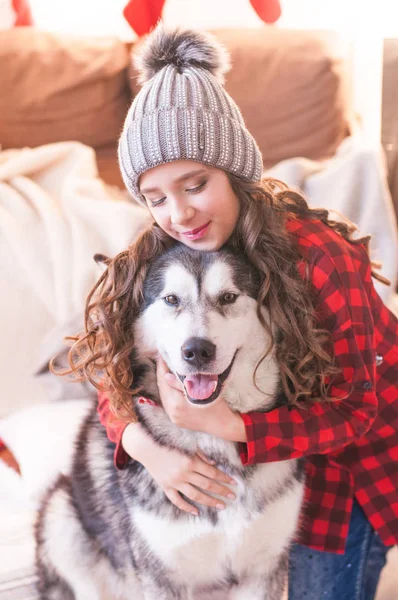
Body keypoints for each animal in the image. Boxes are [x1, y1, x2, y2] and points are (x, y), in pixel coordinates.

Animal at [36, 244, 304, 600]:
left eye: (229, 297)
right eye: (171, 299)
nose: (197, 350)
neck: (208, 437)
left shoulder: (262, 570)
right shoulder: (162, 577)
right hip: (61, 517)